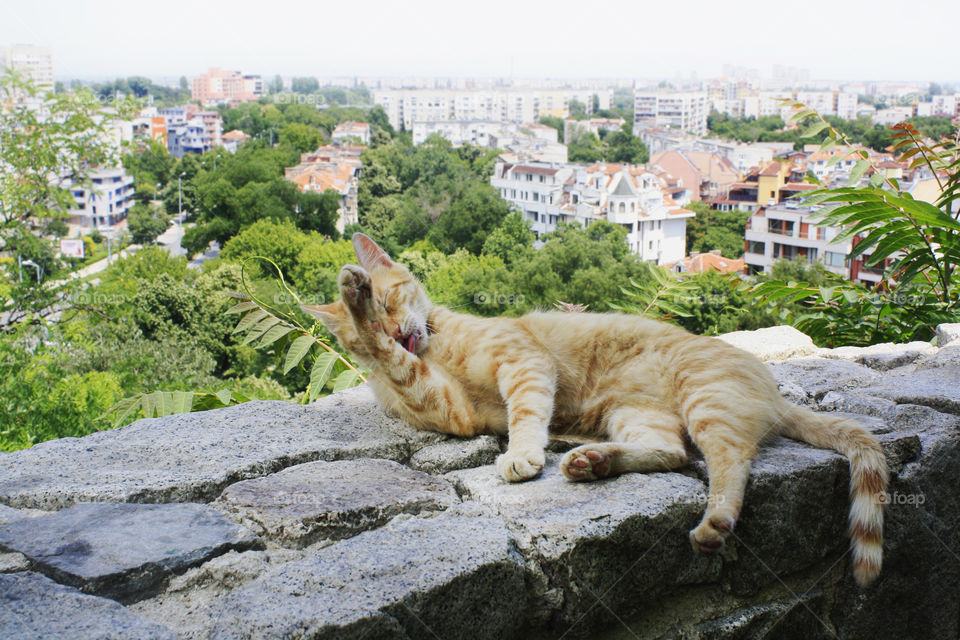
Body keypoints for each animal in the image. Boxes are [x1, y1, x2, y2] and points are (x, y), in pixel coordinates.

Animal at [304, 232, 888, 588]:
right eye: (360, 337)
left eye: (391, 301)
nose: (394, 330)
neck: (435, 347)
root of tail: (773, 389)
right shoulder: (449, 407)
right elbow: (401, 370)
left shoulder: (523, 364)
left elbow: (526, 415)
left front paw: (521, 454)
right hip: (637, 415)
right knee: (672, 453)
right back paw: (594, 461)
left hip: (705, 400)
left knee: (729, 464)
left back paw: (710, 523)